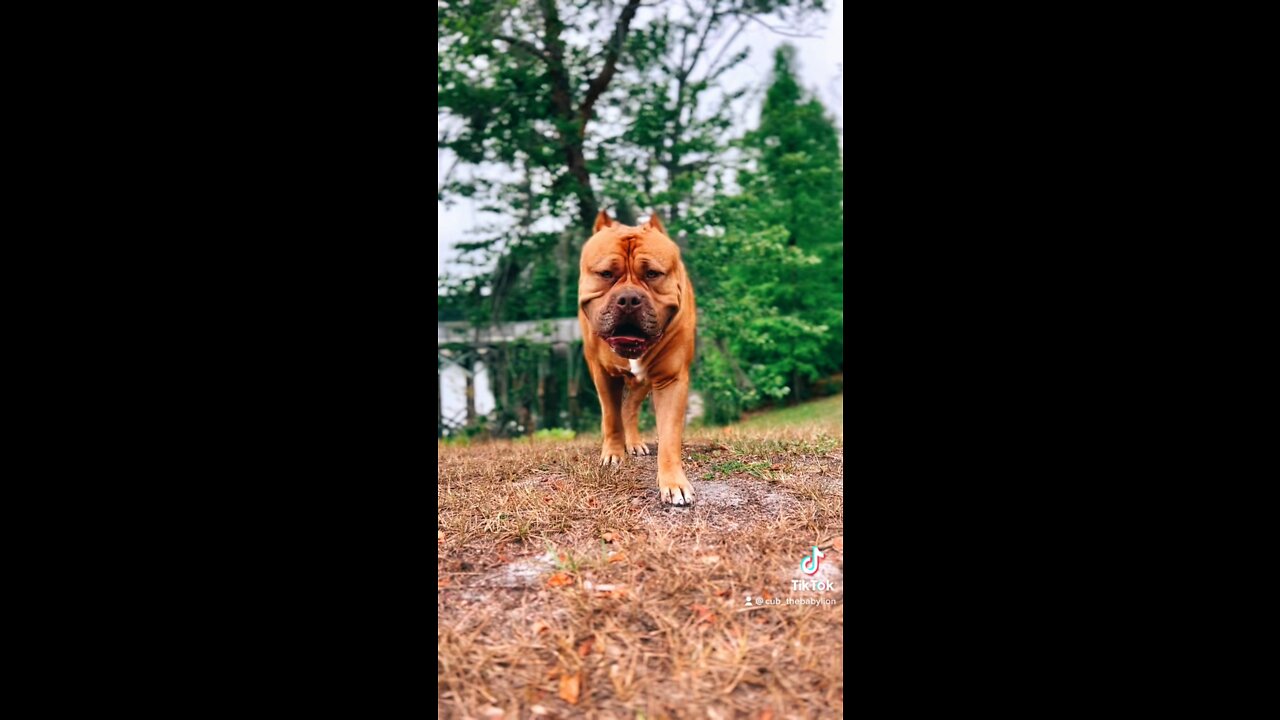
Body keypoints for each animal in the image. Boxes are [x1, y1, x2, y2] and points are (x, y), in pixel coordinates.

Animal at [583, 210, 701, 502]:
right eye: (605, 274)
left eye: (652, 273)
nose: (628, 299)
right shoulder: (602, 373)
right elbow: (611, 416)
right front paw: (613, 454)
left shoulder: (670, 379)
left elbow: (669, 434)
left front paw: (673, 482)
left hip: (644, 380)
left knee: (629, 408)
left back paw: (634, 443)